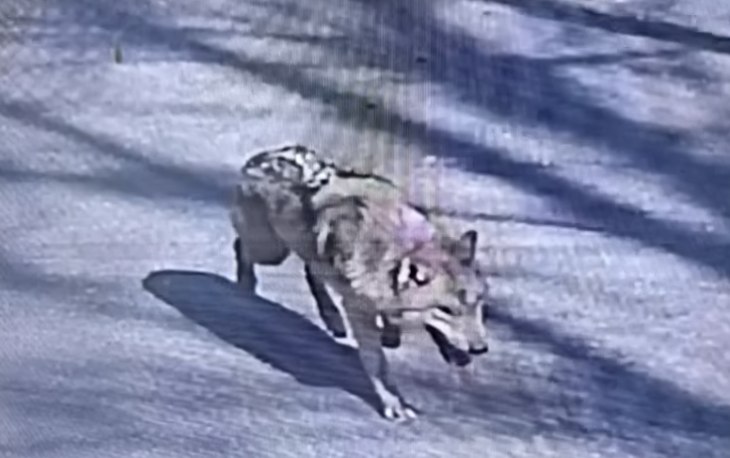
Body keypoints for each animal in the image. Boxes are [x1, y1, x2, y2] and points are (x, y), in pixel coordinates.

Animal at [229, 144, 489, 421]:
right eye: (447, 310)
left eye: (477, 303)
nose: (481, 349)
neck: (396, 248)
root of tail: (260, 157)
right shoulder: (358, 310)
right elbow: (377, 363)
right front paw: (394, 403)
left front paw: (397, 335)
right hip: (271, 252)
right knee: (242, 247)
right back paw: (245, 286)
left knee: (311, 270)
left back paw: (332, 319)